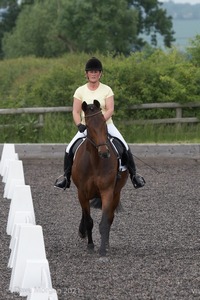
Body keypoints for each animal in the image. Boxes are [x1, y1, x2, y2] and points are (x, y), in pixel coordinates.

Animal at [72, 99, 128, 256]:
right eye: (88, 127)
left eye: (104, 123)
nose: (104, 153)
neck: (94, 162)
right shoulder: (82, 193)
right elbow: (89, 220)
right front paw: (90, 245)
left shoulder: (107, 191)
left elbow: (104, 221)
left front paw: (103, 248)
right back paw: (82, 231)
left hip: (116, 193)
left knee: (110, 217)